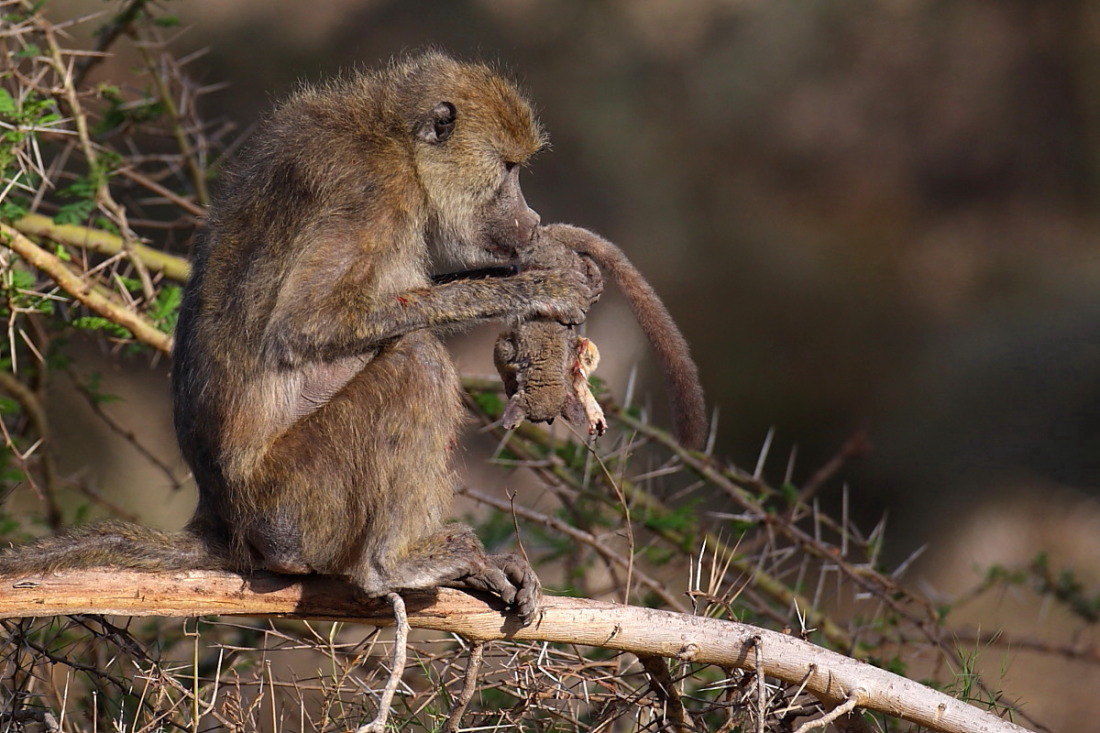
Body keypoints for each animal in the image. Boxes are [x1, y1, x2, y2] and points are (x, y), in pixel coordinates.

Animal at [0, 54, 605, 637]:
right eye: (508, 168)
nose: (530, 220)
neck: (394, 140)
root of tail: (222, 522)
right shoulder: (373, 191)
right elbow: (304, 324)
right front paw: (539, 288)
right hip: (295, 503)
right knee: (418, 359)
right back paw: (393, 564)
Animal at [494, 223, 708, 450]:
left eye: (548, 420)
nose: (550, 422)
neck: (546, 370)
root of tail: (548, 233)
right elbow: (503, 348)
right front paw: (509, 384)